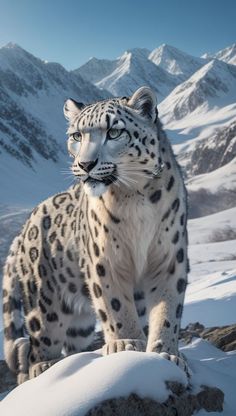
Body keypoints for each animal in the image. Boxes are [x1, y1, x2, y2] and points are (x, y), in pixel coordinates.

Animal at [2, 87, 190, 384]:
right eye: (77, 136)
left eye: (114, 131)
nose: (85, 164)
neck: (134, 195)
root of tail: (24, 228)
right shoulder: (105, 260)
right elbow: (115, 305)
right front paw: (126, 344)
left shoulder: (169, 258)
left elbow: (168, 310)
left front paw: (166, 354)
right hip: (43, 303)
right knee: (37, 346)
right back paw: (43, 368)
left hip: (78, 322)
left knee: (73, 341)